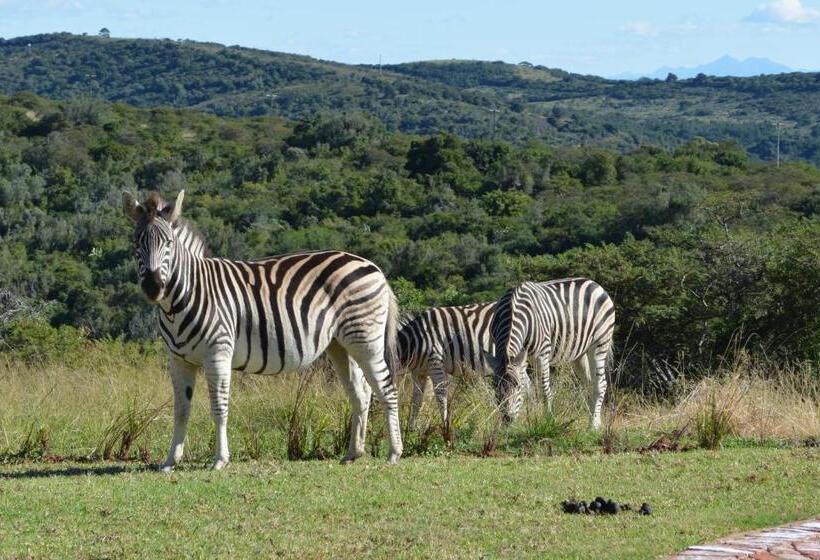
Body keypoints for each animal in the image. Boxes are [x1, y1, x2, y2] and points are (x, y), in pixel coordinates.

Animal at [122, 190, 403, 469]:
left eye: (168, 243)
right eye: (136, 243)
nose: (153, 287)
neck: (183, 298)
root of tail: (373, 266)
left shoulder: (218, 354)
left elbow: (219, 408)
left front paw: (220, 460)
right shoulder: (178, 360)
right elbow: (181, 410)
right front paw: (170, 461)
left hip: (366, 339)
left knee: (387, 389)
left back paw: (394, 453)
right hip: (341, 345)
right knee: (361, 393)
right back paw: (353, 453)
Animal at [397, 302, 532, 433]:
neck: (415, 341)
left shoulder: (436, 364)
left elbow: (440, 396)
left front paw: (445, 426)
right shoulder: (419, 371)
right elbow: (417, 400)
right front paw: (412, 429)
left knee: (525, 384)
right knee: (525, 383)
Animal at [484, 278, 615, 429]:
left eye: (517, 387)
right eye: (495, 388)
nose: (507, 420)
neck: (512, 311)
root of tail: (594, 283)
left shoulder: (542, 354)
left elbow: (544, 389)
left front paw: (548, 420)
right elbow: (529, 388)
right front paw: (531, 417)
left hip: (600, 343)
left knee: (600, 384)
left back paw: (593, 425)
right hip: (579, 353)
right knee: (589, 383)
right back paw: (592, 421)